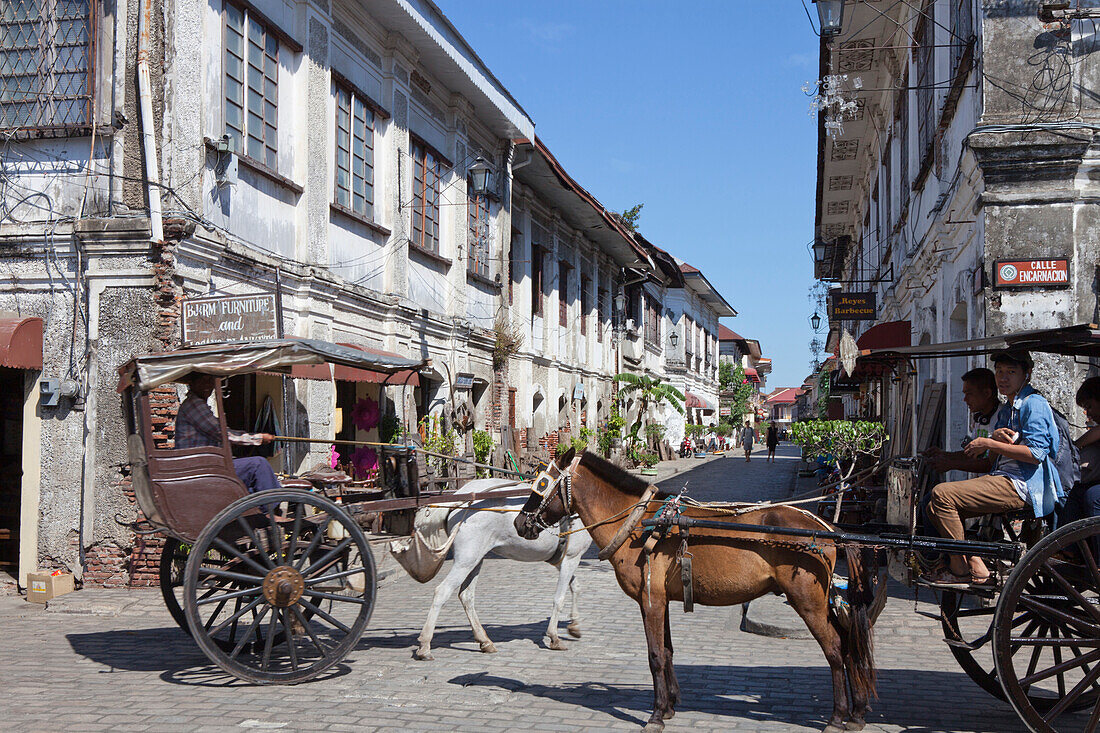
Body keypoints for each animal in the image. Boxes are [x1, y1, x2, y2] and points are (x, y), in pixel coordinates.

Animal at [411, 477, 589, 660]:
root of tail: (459, 498)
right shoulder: (571, 558)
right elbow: (559, 598)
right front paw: (554, 637)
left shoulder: (562, 560)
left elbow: (575, 586)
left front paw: (574, 625)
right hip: (465, 560)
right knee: (442, 591)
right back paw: (425, 645)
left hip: (475, 559)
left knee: (466, 596)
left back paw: (484, 641)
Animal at [510, 444, 880, 730]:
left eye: (541, 485)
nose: (519, 523)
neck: (640, 524)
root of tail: (826, 527)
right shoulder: (659, 600)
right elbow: (668, 651)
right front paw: (670, 706)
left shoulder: (650, 601)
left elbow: (655, 656)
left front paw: (655, 715)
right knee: (849, 644)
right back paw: (858, 712)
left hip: (808, 601)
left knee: (835, 649)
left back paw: (838, 716)